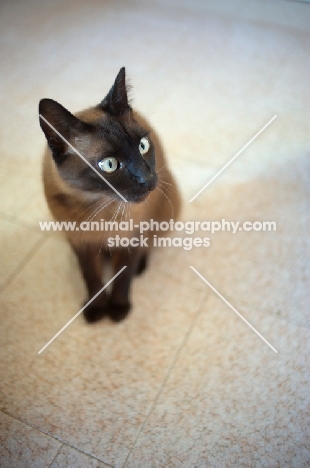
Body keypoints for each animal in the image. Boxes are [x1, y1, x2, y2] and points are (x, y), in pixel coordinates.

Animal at [38, 67, 180, 324]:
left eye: (143, 146)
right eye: (110, 165)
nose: (147, 178)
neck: (98, 204)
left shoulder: (131, 238)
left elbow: (123, 275)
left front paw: (118, 309)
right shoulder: (80, 243)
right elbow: (91, 277)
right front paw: (96, 309)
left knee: (149, 244)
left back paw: (140, 266)